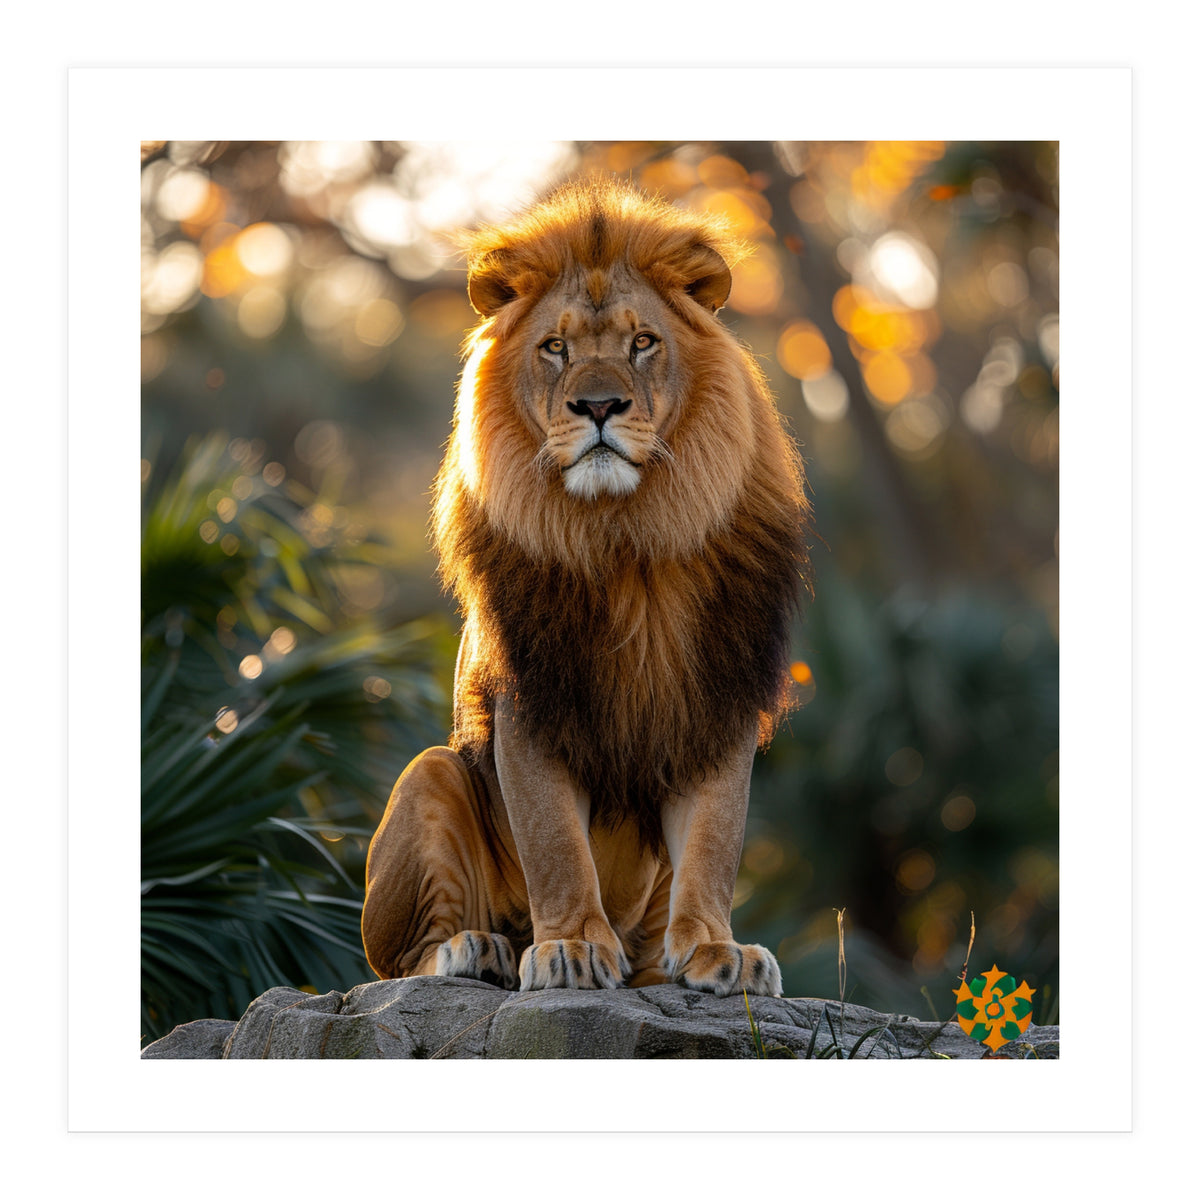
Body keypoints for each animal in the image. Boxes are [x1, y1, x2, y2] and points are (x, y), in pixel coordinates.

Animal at [361, 178, 811, 997]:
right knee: (398, 963)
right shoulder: (531, 700)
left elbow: (713, 841)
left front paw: (716, 951)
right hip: (430, 774)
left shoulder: (717, 698)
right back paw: (479, 949)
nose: (599, 407)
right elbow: (556, 845)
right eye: (555, 348)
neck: (626, 539)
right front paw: (568, 946)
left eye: (642, 343)